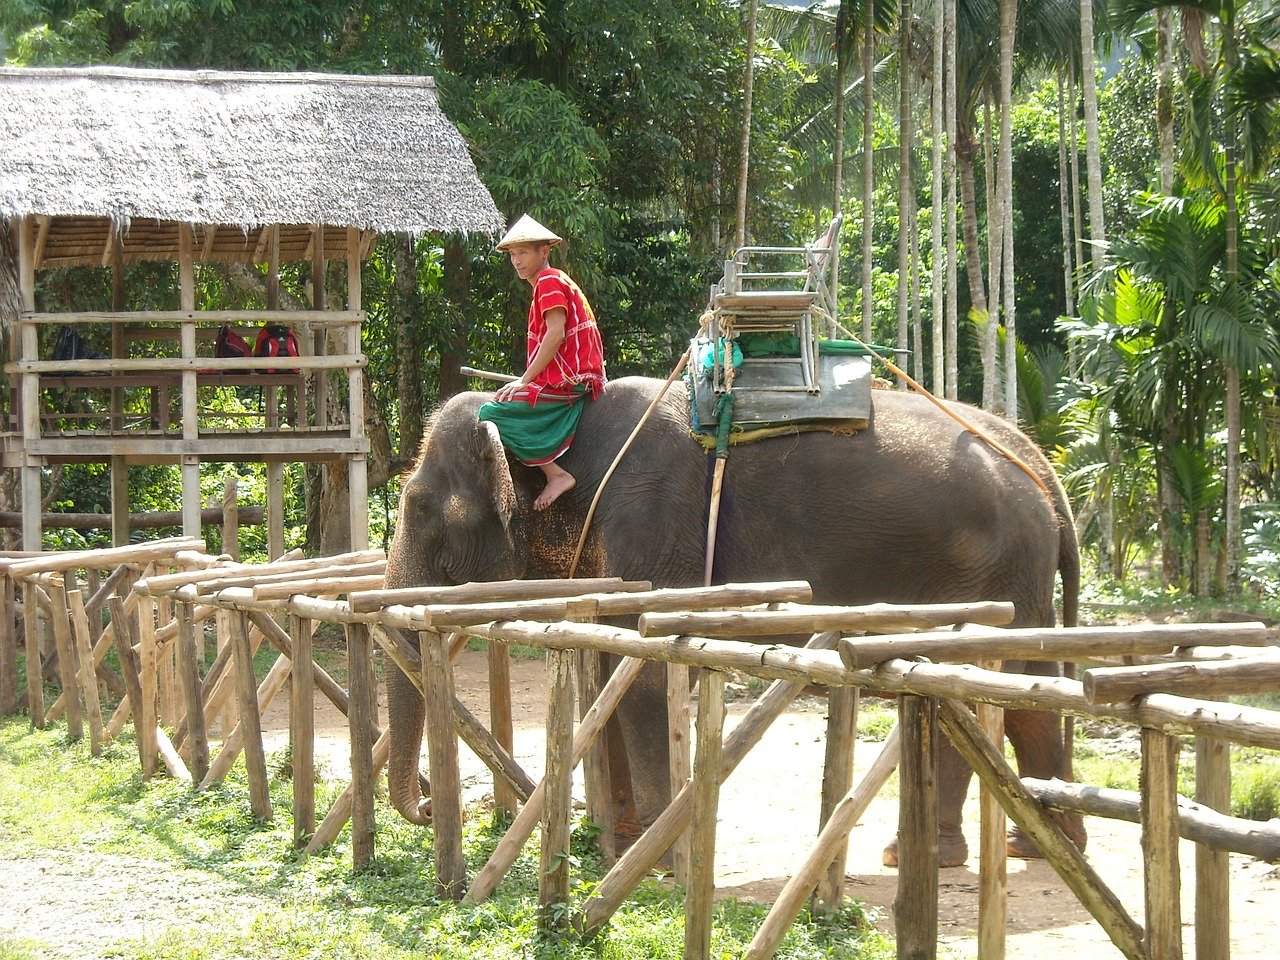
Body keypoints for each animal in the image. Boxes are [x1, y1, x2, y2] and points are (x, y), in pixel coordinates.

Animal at [384, 378, 1085, 870]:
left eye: (418, 507)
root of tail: (1039, 466)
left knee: (964, 689)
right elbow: (610, 672)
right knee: (1024, 694)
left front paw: (657, 861)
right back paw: (1038, 847)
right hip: (1016, 584)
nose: (430, 798)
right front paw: (620, 847)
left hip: (981, 575)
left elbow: (645, 675)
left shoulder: (653, 523)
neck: (561, 423)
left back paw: (925, 854)